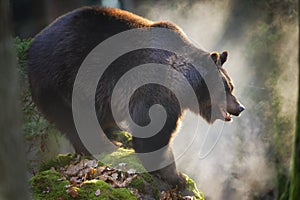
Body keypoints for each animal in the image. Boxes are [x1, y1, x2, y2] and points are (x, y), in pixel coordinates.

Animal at [28, 6, 244, 188]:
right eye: (227, 88)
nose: (240, 107)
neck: (182, 84)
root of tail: (33, 44)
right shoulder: (153, 88)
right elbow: (153, 133)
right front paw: (176, 176)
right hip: (64, 79)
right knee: (76, 119)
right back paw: (106, 145)